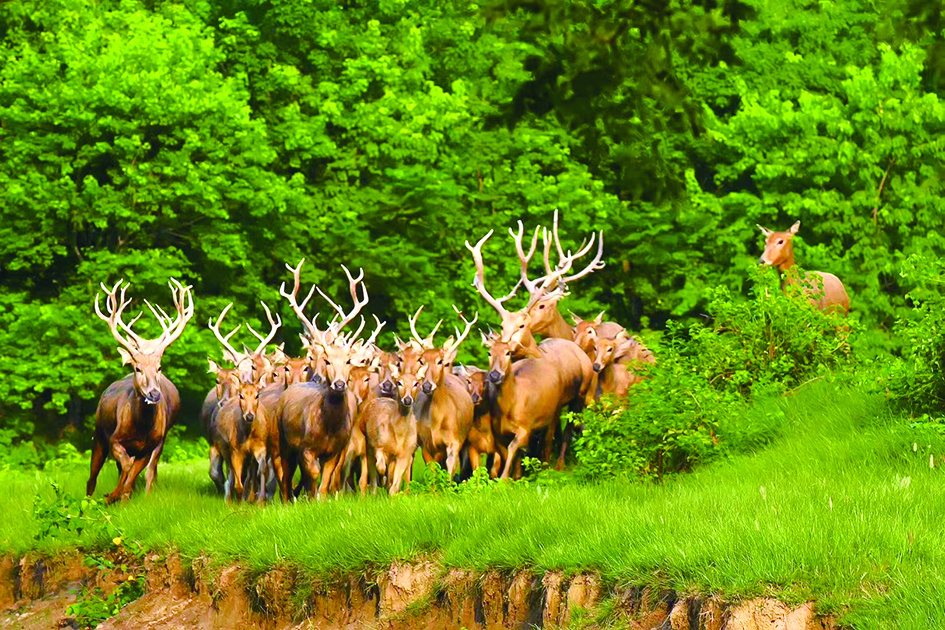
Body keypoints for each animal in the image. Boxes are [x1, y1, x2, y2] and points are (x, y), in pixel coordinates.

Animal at [86, 278, 194, 506]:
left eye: (159, 367)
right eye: (138, 368)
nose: (154, 394)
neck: (140, 427)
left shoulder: (150, 446)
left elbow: (133, 475)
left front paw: (117, 496)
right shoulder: (114, 439)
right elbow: (126, 467)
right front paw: (110, 495)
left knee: (145, 472)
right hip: (99, 433)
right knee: (92, 478)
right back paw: (88, 502)